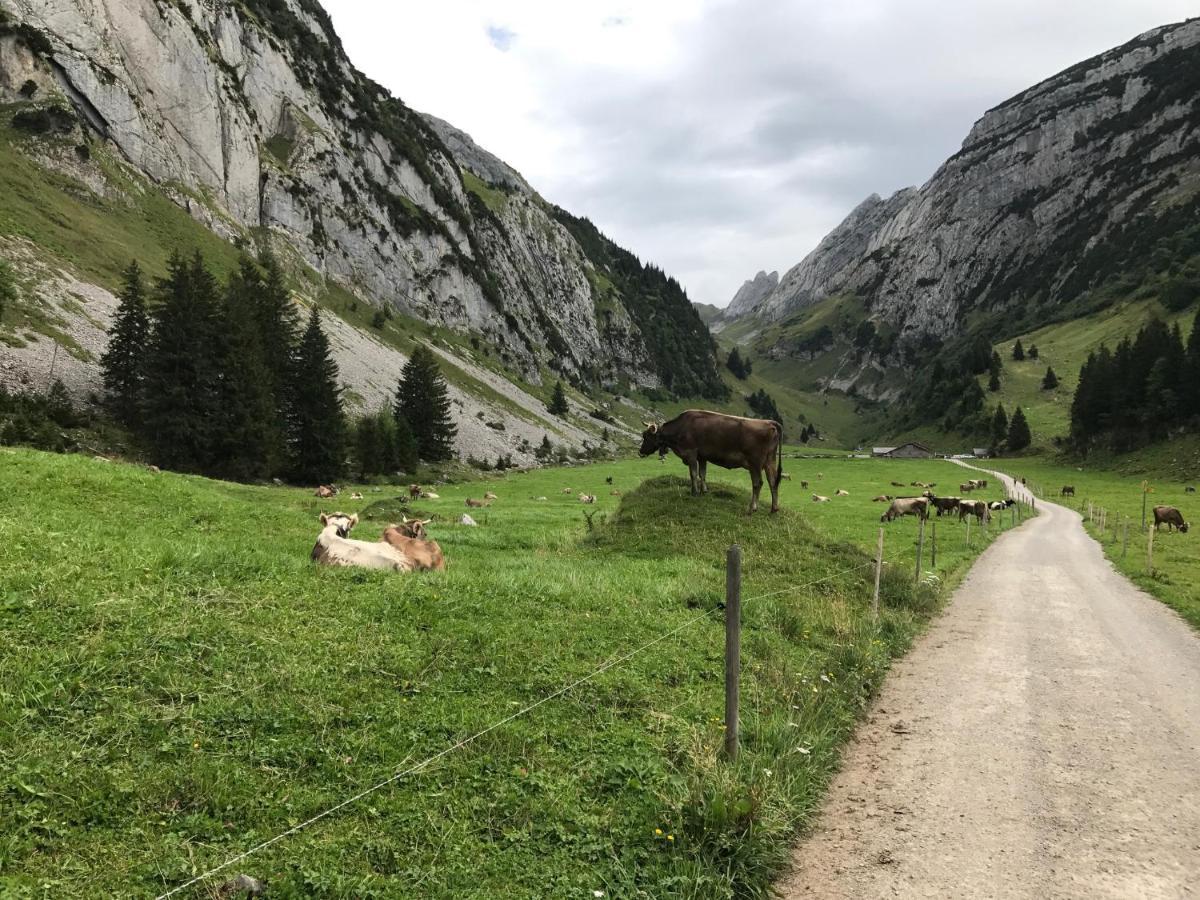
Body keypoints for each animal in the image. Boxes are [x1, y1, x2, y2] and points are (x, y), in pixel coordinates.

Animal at [638, 410, 787, 513]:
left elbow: (693, 474)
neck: (681, 428)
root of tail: (769, 422)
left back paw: (752, 508)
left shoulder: (691, 453)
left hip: (754, 462)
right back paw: (774, 508)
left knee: (758, 483)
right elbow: (702, 474)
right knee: (773, 481)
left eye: (646, 436)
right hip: (770, 460)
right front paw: (704, 491)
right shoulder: (702, 456)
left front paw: (694, 492)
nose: (640, 452)